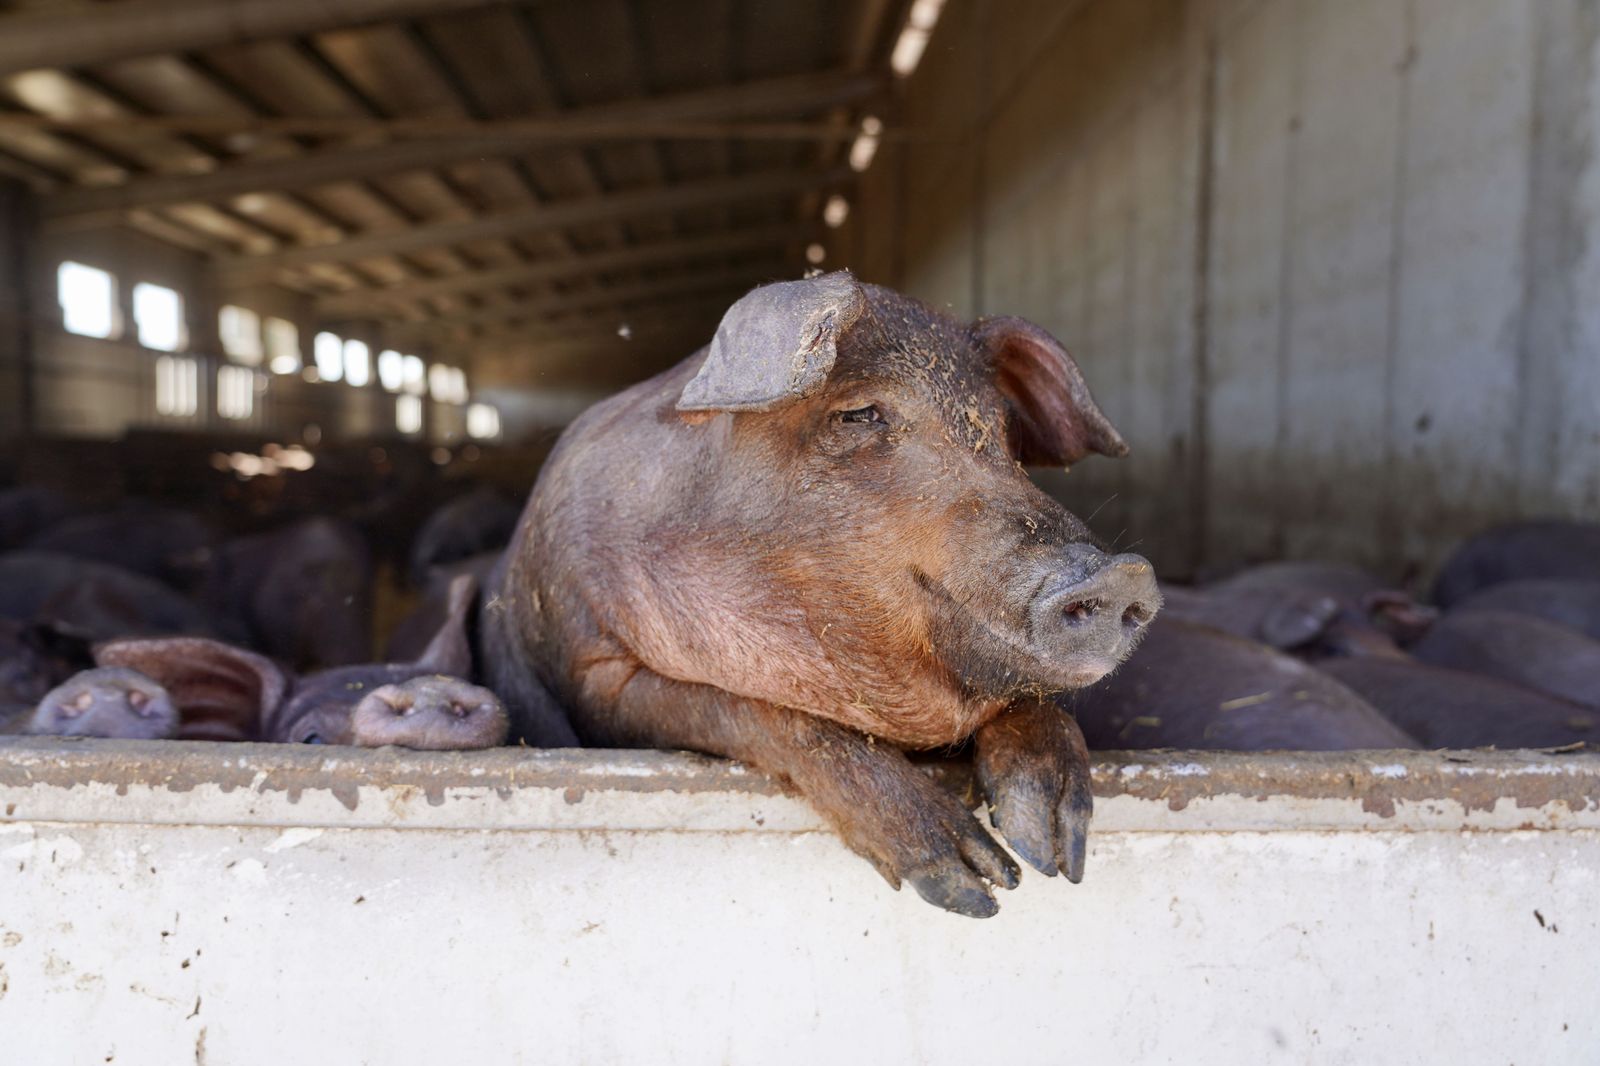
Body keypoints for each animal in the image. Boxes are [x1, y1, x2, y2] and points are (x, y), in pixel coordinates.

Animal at [483, 271, 1161, 917]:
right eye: (859, 414)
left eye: (1000, 430)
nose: (1122, 573)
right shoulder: (595, 673)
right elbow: (769, 715)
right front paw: (977, 883)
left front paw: (1052, 852)